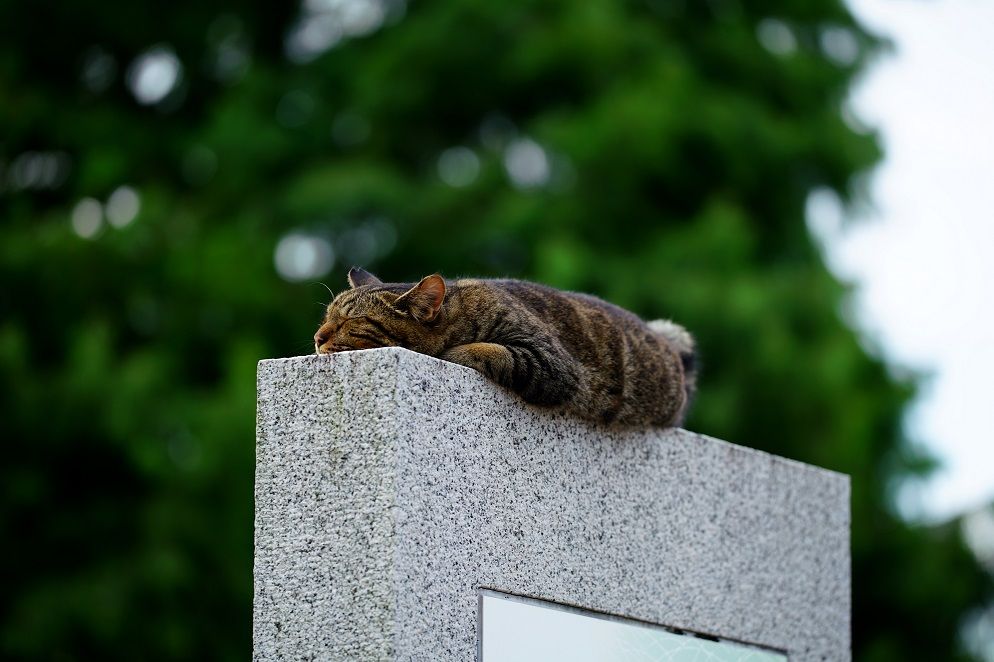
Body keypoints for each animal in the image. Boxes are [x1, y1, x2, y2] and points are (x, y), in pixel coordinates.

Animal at [314, 268, 692, 428]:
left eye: (350, 322)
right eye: (327, 316)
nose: (318, 337)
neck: (463, 312)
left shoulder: (553, 364)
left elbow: (492, 350)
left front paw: (452, 352)